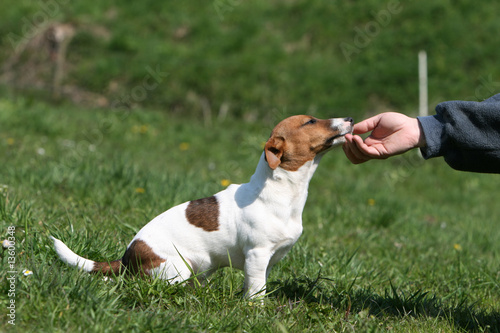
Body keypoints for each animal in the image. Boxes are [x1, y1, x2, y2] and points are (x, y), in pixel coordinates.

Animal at [50, 115, 354, 296]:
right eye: (310, 121)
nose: (350, 118)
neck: (282, 191)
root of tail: (126, 259)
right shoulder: (257, 255)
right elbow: (256, 292)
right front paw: (256, 310)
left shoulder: (266, 261)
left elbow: (256, 285)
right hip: (176, 270)